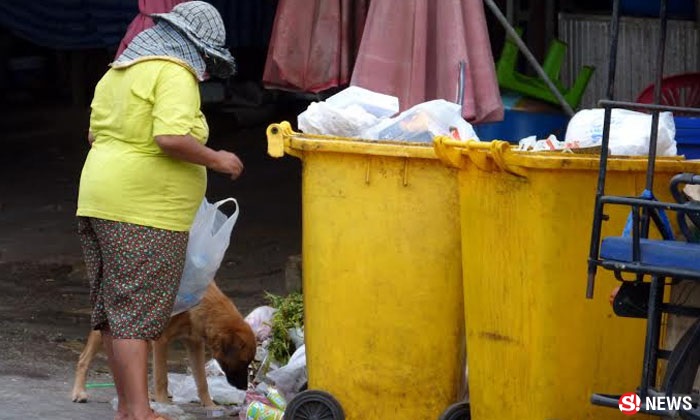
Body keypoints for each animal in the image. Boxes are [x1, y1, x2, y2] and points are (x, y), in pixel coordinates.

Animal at [70, 280, 258, 408]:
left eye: (249, 363)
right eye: (243, 361)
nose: (244, 387)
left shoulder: (195, 344)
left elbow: (202, 381)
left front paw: (209, 405)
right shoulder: (161, 341)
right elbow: (162, 377)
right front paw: (163, 404)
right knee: (84, 358)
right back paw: (79, 391)